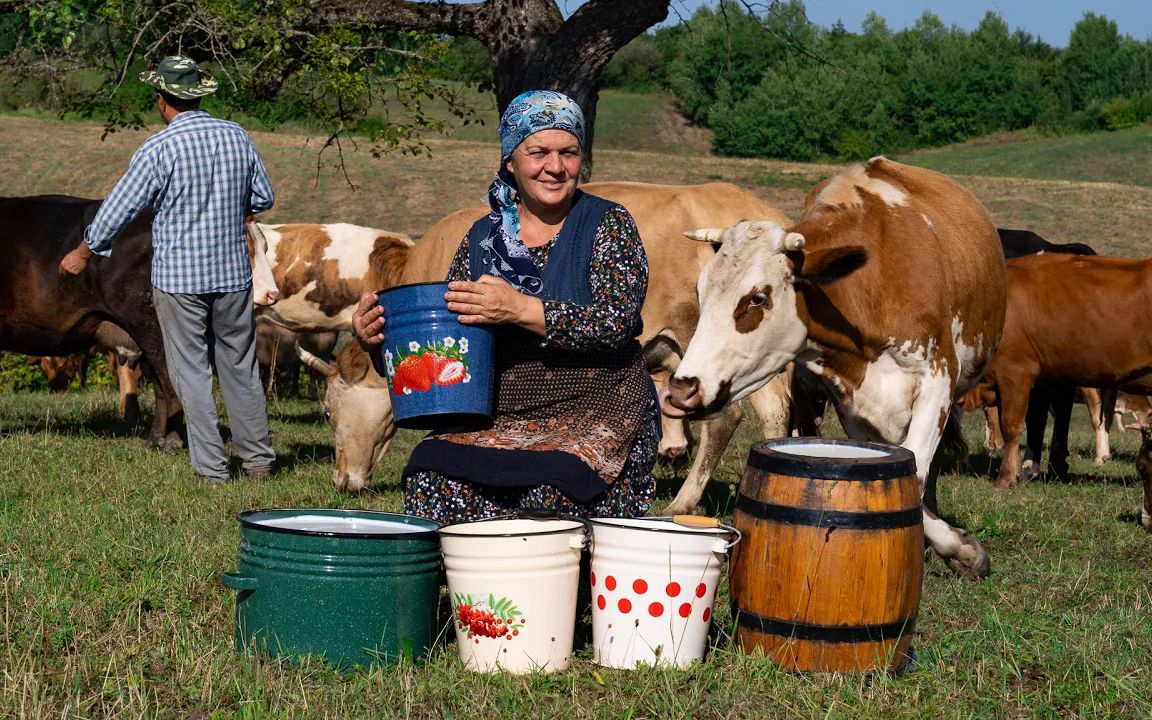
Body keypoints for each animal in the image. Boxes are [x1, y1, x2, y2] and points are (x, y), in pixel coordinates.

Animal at [663, 158, 1004, 578]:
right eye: (700, 292)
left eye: (758, 298)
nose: (682, 389)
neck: (872, 286)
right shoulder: (852, 405)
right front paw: (954, 545)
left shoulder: (937, 380)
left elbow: (917, 471)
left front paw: (964, 551)